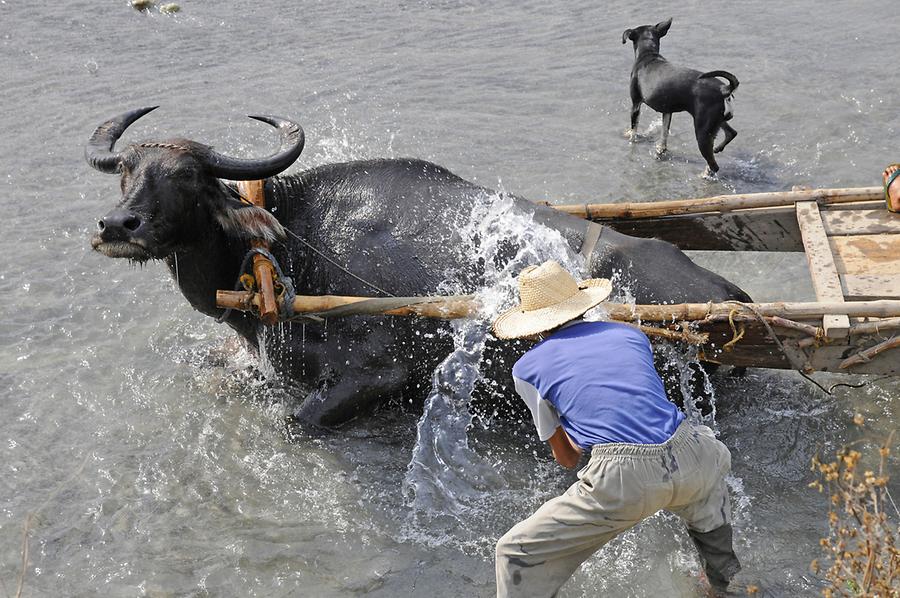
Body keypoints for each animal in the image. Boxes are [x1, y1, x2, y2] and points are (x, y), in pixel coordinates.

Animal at [86, 108, 752, 426]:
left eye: (190, 179)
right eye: (127, 172)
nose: (118, 226)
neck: (289, 250)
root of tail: (728, 293)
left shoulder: (373, 376)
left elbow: (295, 420)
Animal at [624, 19, 740, 175]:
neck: (648, 54)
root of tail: (724, 89)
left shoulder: (636, 104)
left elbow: (634, 129)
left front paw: (631, 138)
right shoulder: (667, 111)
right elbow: (664, 133)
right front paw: (660, 150)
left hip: (702, 131)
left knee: (714, 164)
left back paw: (704, 174)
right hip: (717, 120)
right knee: (731, 133)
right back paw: (717, 149)